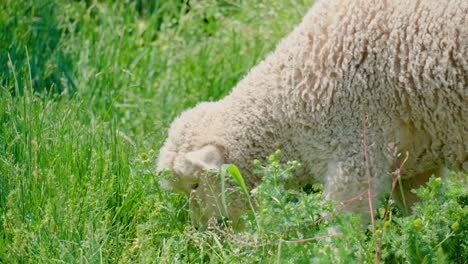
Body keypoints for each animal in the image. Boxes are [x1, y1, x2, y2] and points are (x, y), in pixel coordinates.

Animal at [157, 0, 468, 228]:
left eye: (195, 185)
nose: (202, 229)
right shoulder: (413, 164)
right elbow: (418, 215)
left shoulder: (355, 154)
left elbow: (340, 226)